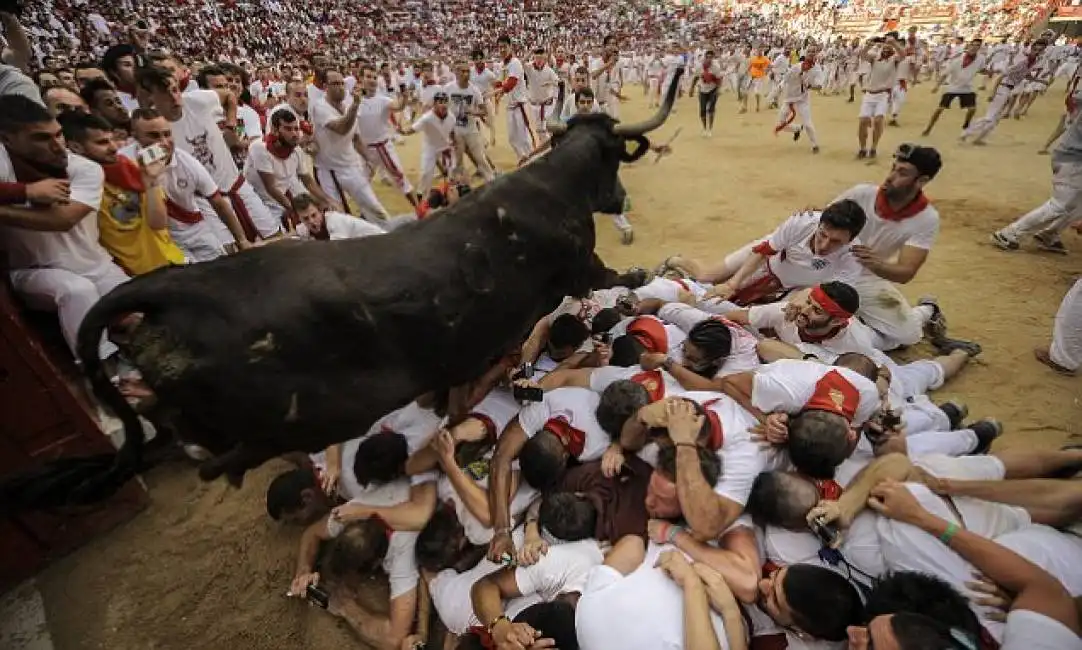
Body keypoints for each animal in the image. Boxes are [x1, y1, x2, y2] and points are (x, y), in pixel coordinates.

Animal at [2, 67, 683, 512]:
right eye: (613, 158)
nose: (619, 200)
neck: (549, 186)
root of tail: (180, 287)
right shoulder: (579, 265)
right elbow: (613, 277)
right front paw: (642, 272)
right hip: (304, 415)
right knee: (220, 454)